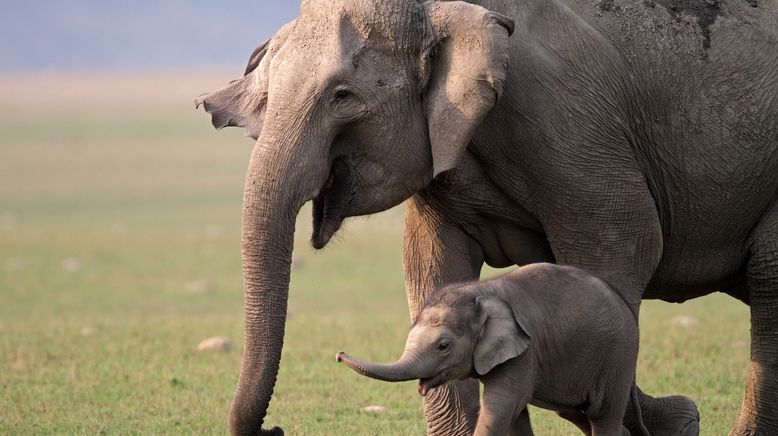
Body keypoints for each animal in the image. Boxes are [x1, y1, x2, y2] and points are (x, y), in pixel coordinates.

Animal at [336, 262, 644, 436]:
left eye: (443, 346)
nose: (338, 355)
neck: (480, 292)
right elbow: (514, 417)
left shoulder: (524, 353)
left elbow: (501, 406)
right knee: (578, 414)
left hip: (619, 355)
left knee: (602, 415)